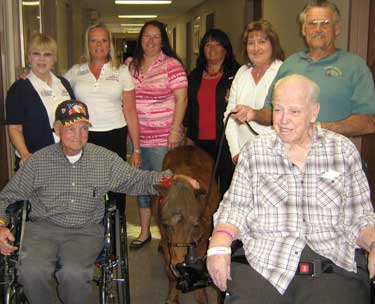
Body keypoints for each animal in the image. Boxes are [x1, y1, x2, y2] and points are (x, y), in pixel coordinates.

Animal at [154, 145, 222, 304]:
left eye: (195, 225)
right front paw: (172, 297)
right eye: (166, 225)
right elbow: (169, 271)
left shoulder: (203, 241)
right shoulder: (166, 242)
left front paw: (202, 297)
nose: (178, 265)